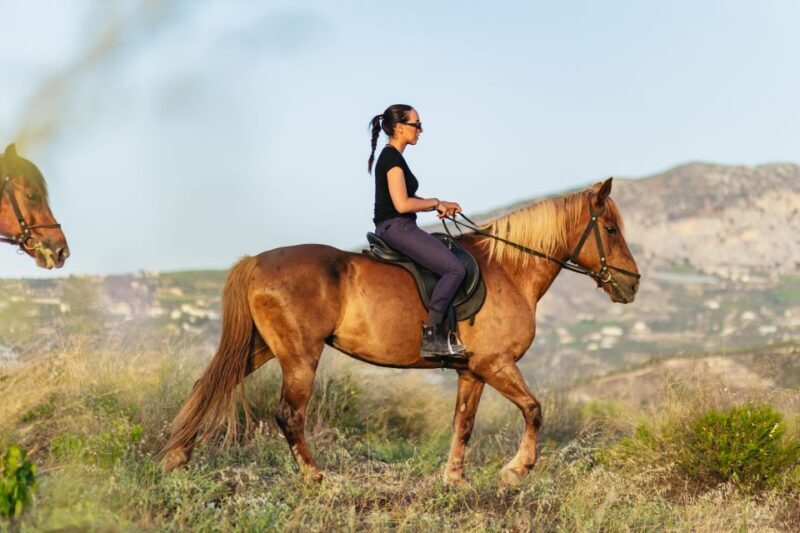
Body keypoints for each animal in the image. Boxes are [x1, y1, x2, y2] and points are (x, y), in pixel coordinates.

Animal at [159, 177, 640, 487]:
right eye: (610, 228)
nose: (632, 284)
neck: (510, 269)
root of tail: (256, 261)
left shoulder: (472, 371)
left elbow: (463, 424)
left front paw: (454, 481)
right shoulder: (496, 364)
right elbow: (535, 410)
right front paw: (515, 472)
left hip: (259, 347)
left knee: (211, 385)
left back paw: (175, 457)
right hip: (299, 355)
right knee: (289, 414)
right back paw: (317, 478)